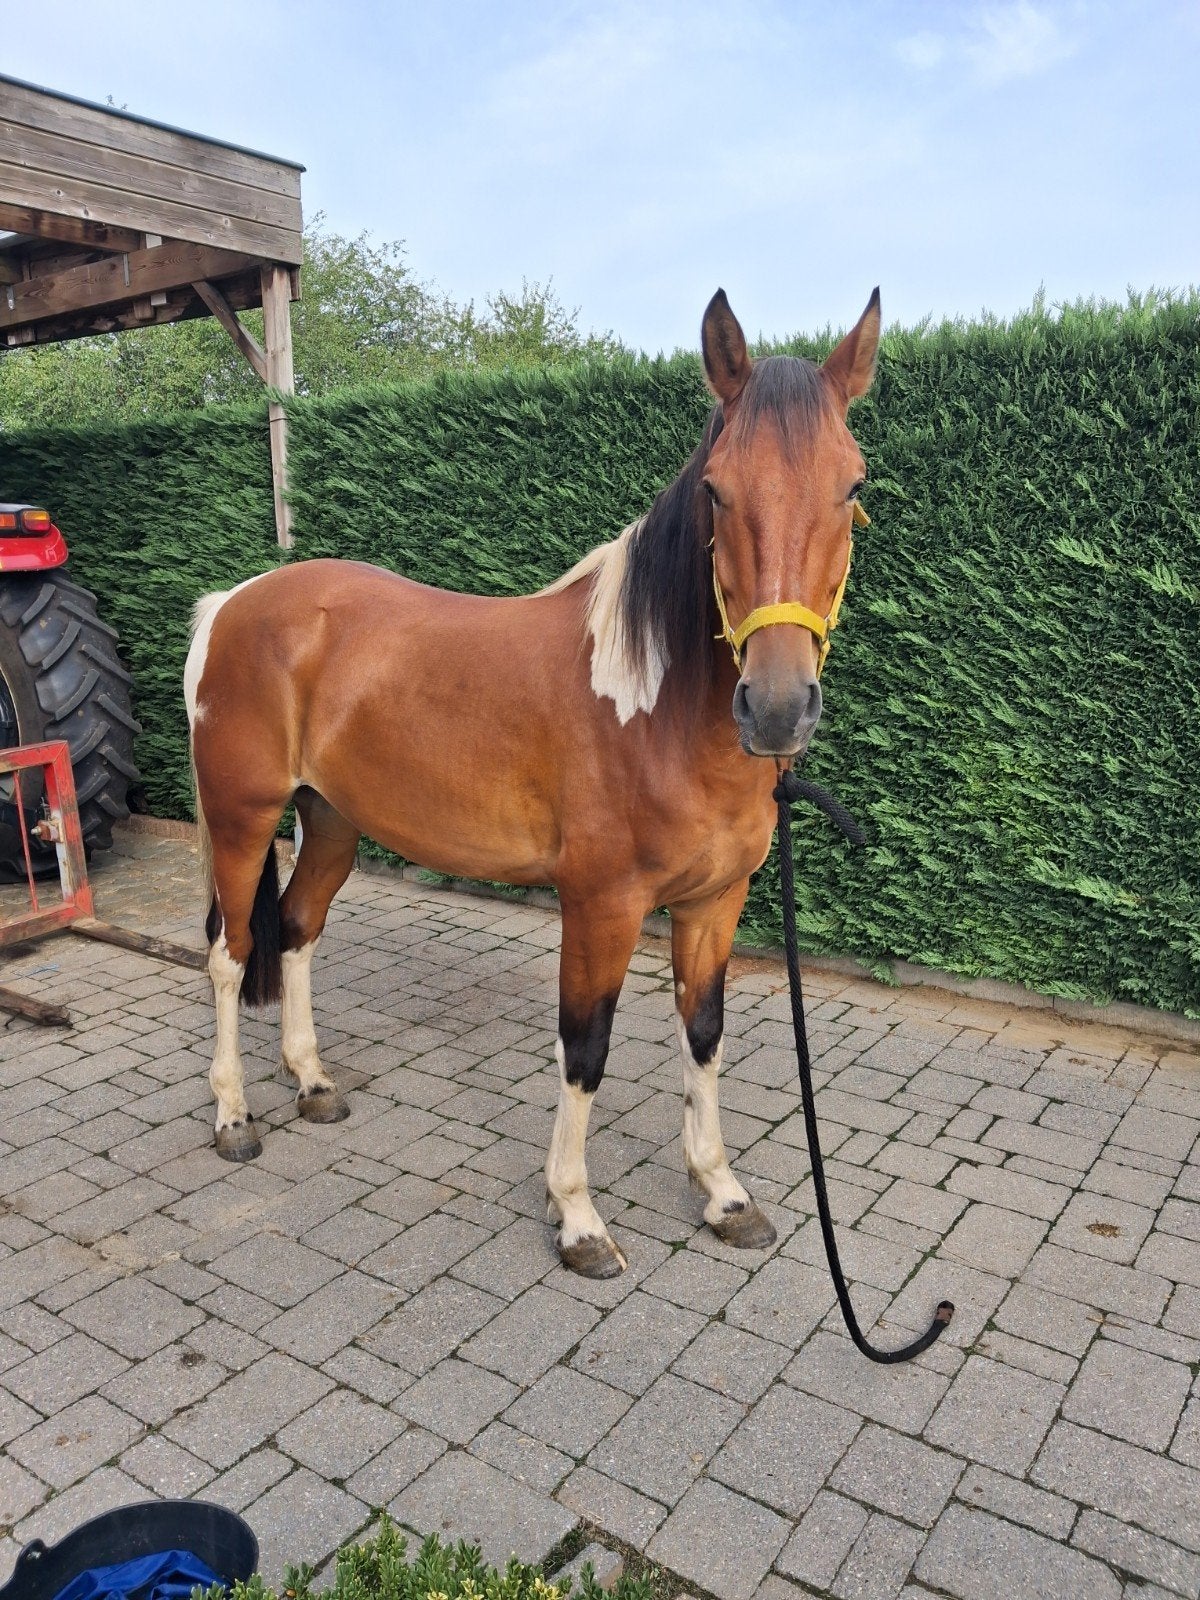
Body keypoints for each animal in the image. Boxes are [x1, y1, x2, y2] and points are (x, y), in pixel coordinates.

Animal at [184, 287, 880, 1278]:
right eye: (716, 488)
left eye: (853, 487)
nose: (777, 707)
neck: (656, 705)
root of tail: (233, 603)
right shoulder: (601, 906)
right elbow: (584, 1050)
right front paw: (578, 1217)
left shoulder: (715, 903)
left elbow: (702, 1037)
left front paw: (723, 1194)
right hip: (244, 819)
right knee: (232, 951)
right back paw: (234, 1115)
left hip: (333, 824)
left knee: (299, 934)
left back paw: (313, 1081)